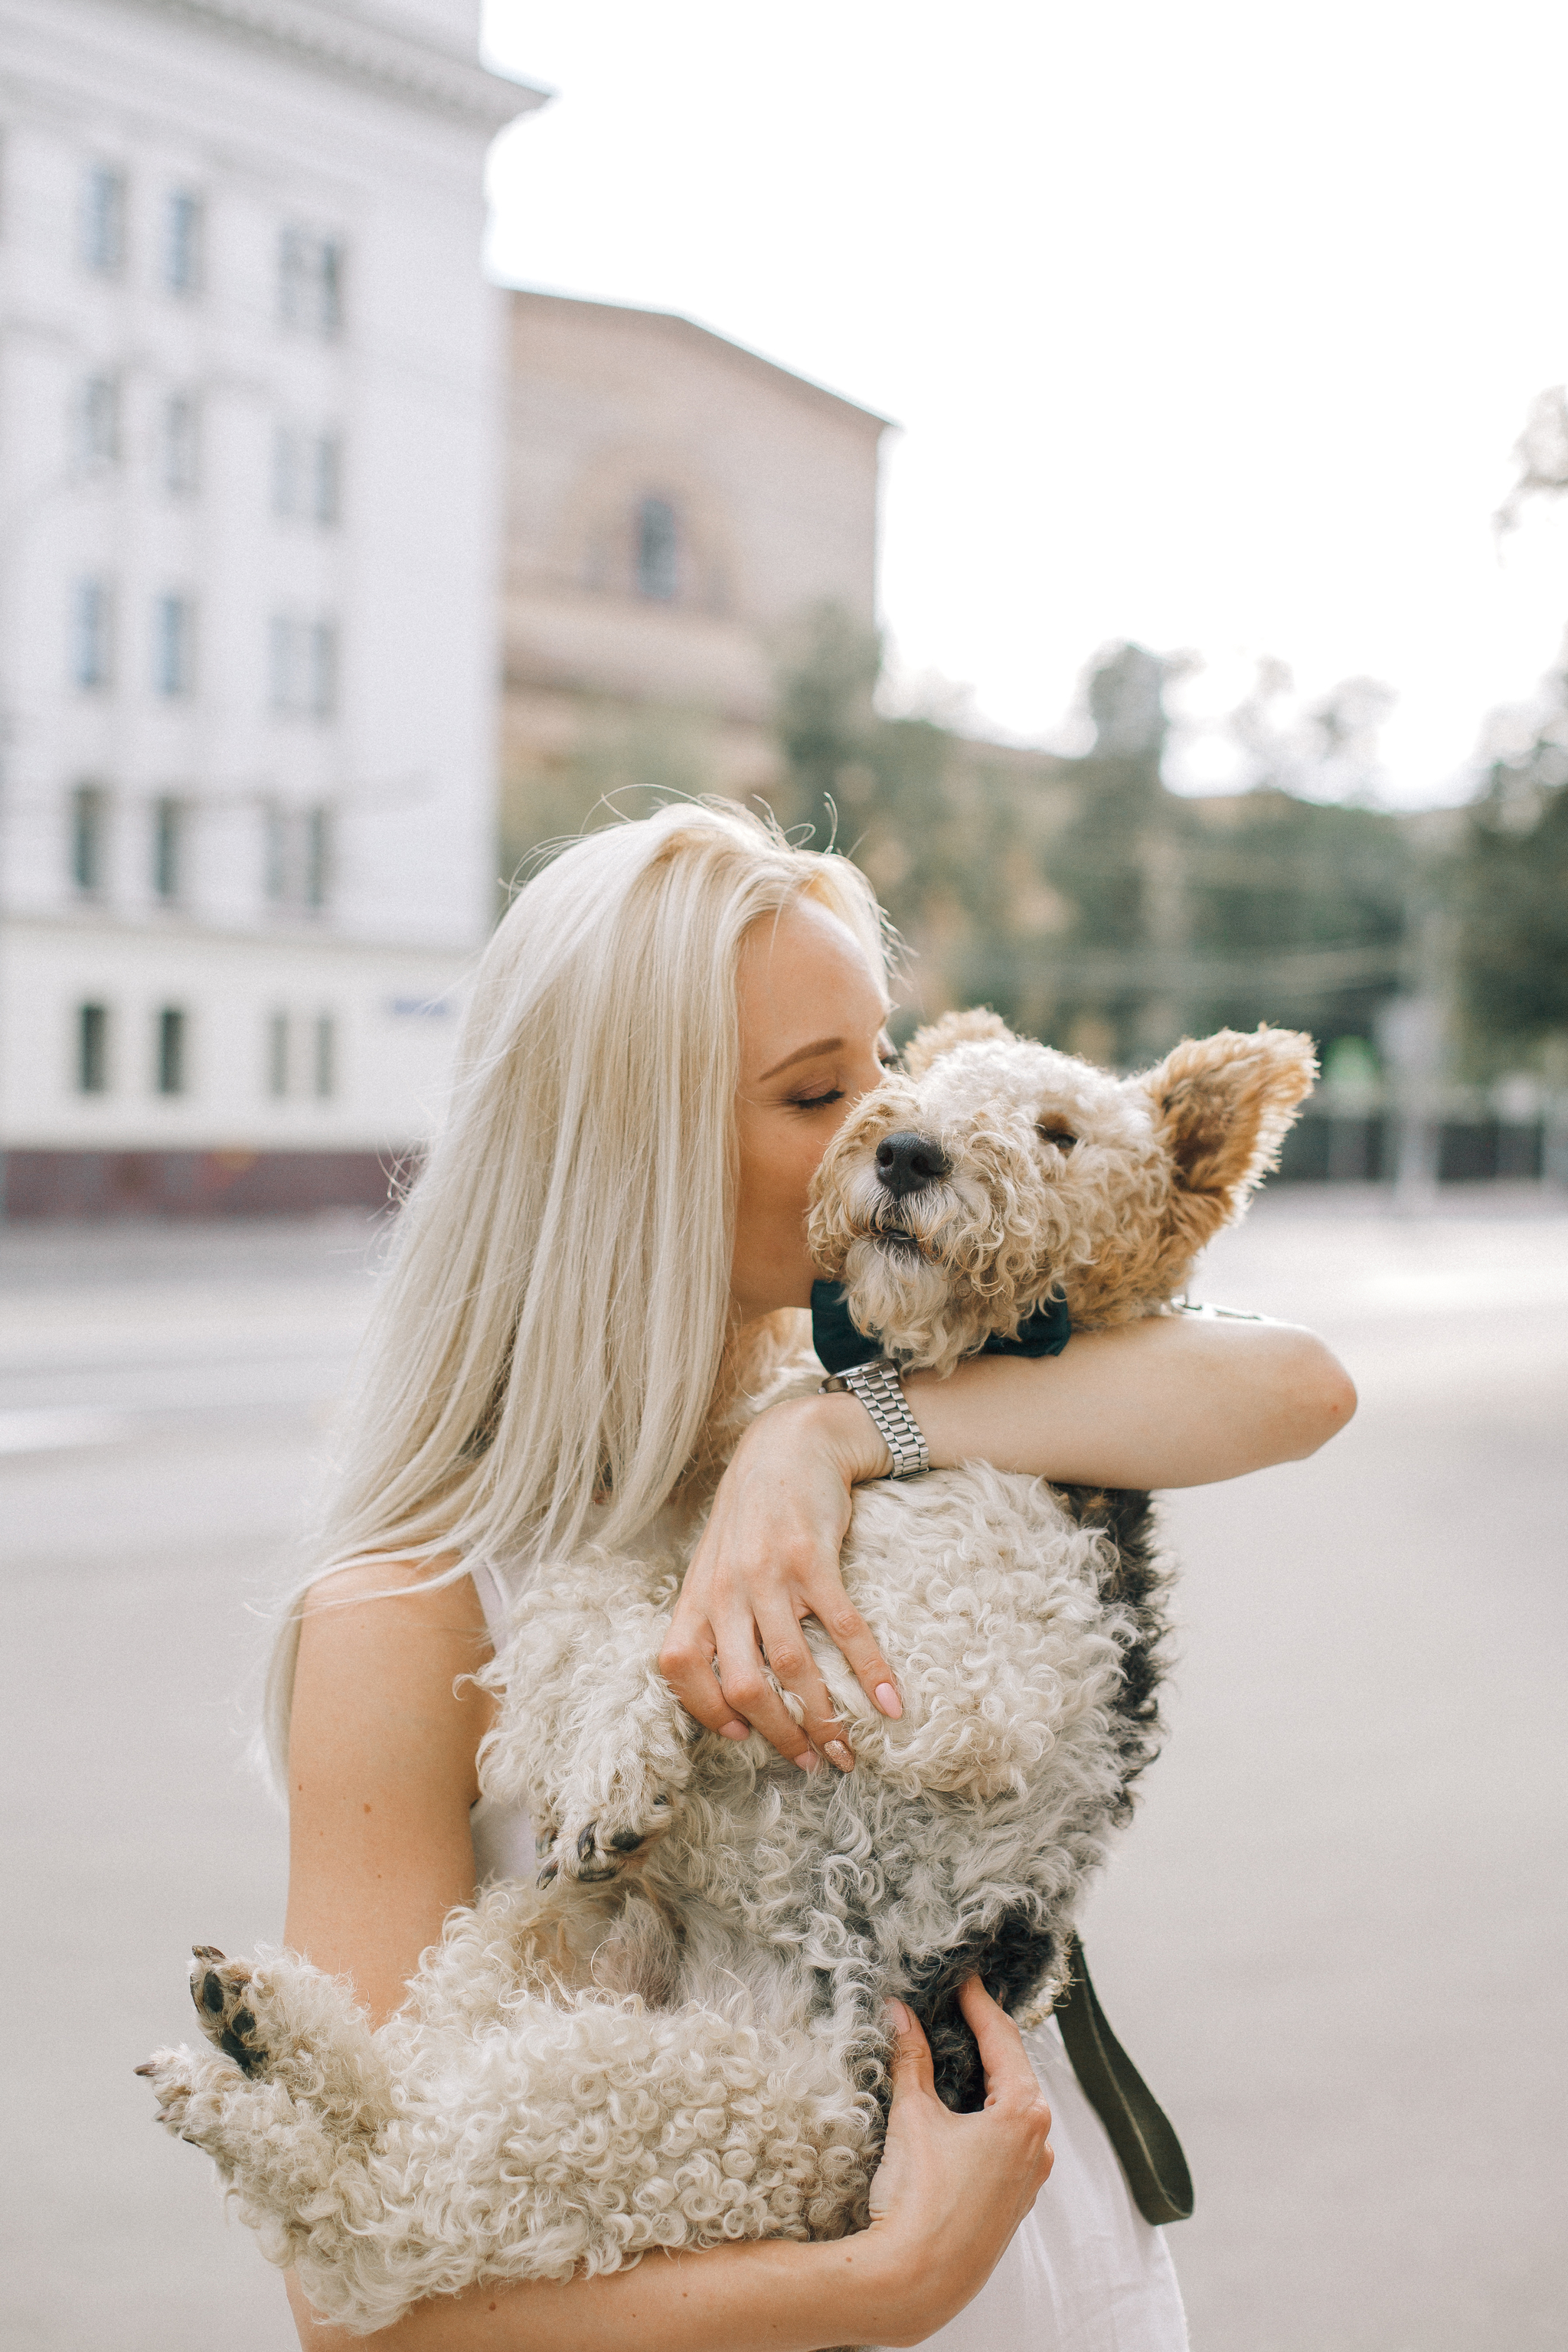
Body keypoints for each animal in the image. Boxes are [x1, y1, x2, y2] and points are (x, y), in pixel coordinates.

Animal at [135, 1011, 1316, 2333]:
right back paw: (263, 2037)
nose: (905, 1152)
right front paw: (609, 1768)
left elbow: (698, 1622)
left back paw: (248, 2091)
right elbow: (616, 1596)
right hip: (527, 1962)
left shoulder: (958, 1678)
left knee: (393, 2207)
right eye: (916, 1081)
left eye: (1061, 1133)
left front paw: (632, 1746)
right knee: (397, 2145)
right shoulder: (699, 1543)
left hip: (678, 2107)